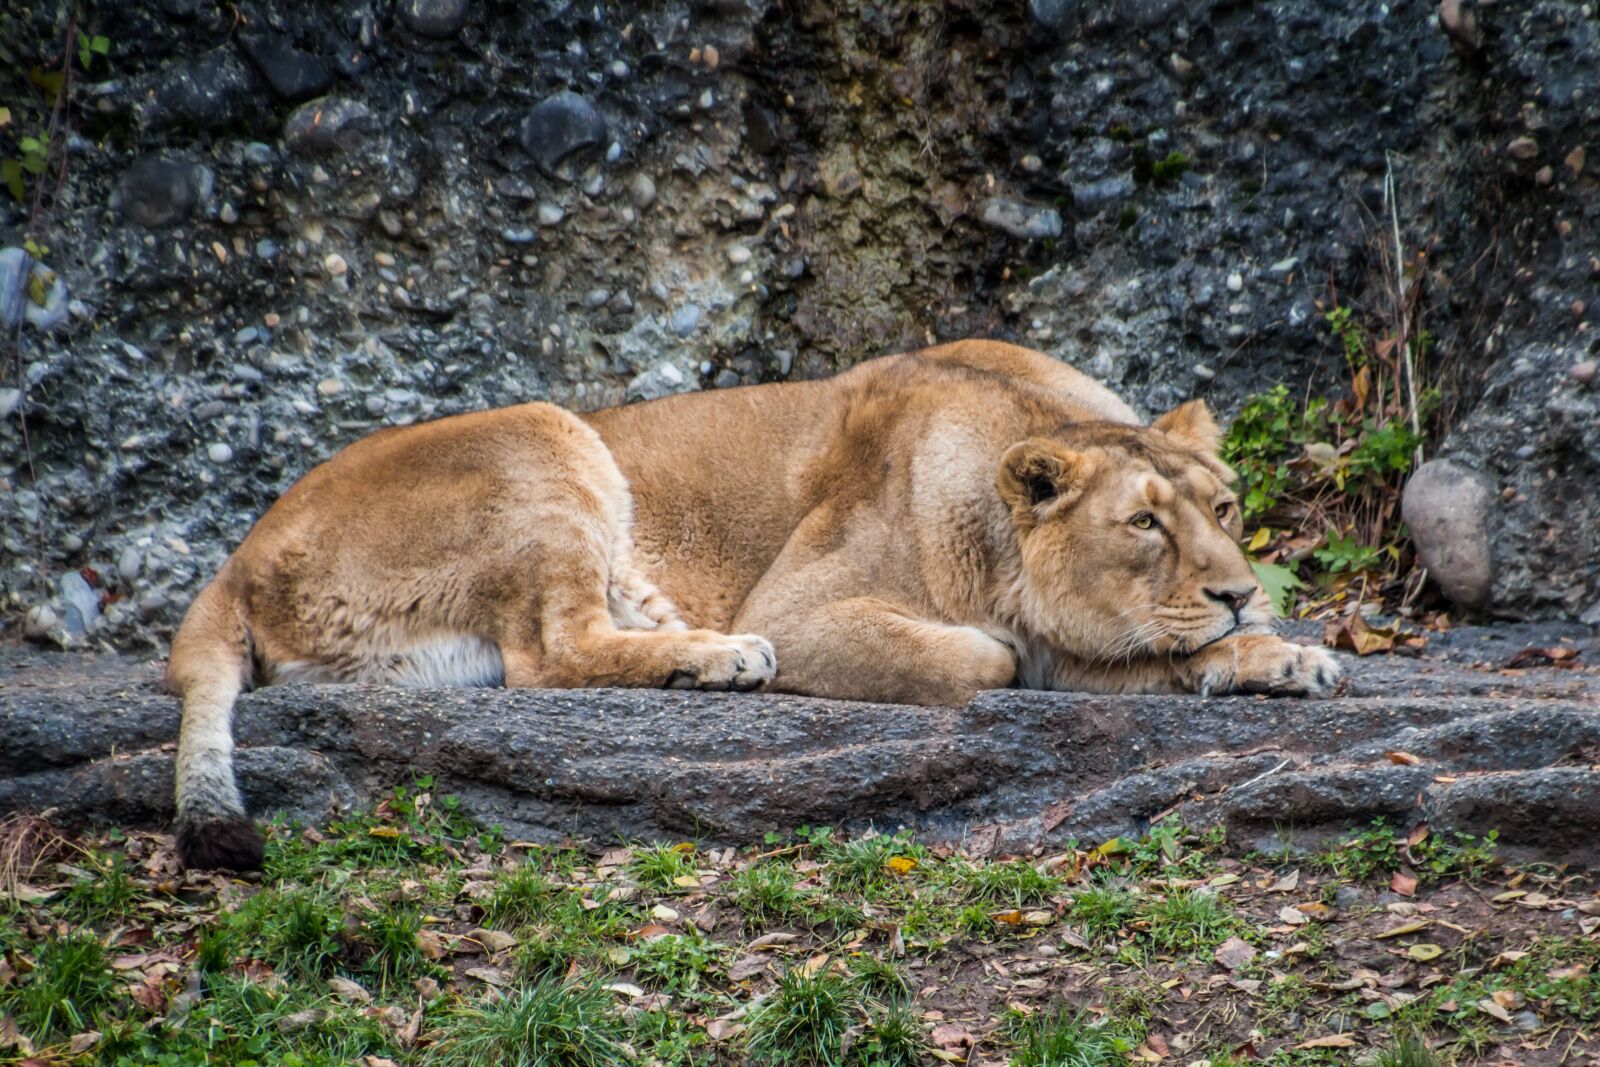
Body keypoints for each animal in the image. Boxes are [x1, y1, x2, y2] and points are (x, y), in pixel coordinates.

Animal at [168, 340, 1340, 870]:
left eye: (1224, 507)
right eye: (1143, 524)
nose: (1239, 591)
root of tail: (238, 556)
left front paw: (1275, 656)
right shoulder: (810, 605)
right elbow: (992, 658)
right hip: (542, 433)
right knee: (552, 651)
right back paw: (718, 655)